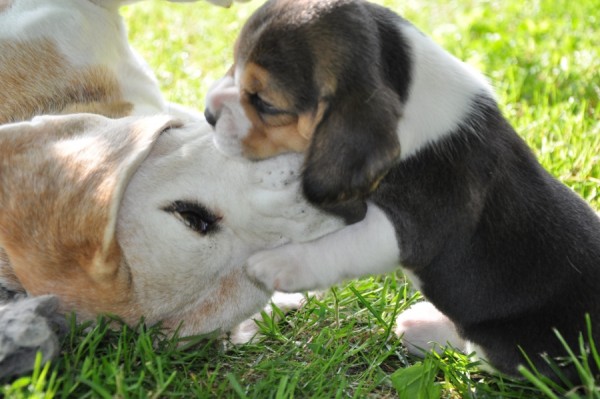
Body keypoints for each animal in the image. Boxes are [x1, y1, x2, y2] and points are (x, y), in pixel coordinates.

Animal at [206, 0, 600, 380]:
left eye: (266, 103)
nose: (208, 114)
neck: (408, 84)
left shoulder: (410, 228)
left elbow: (338, 247)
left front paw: (277, 264)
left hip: (518, 346)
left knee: (480, 351)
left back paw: (426, 330)